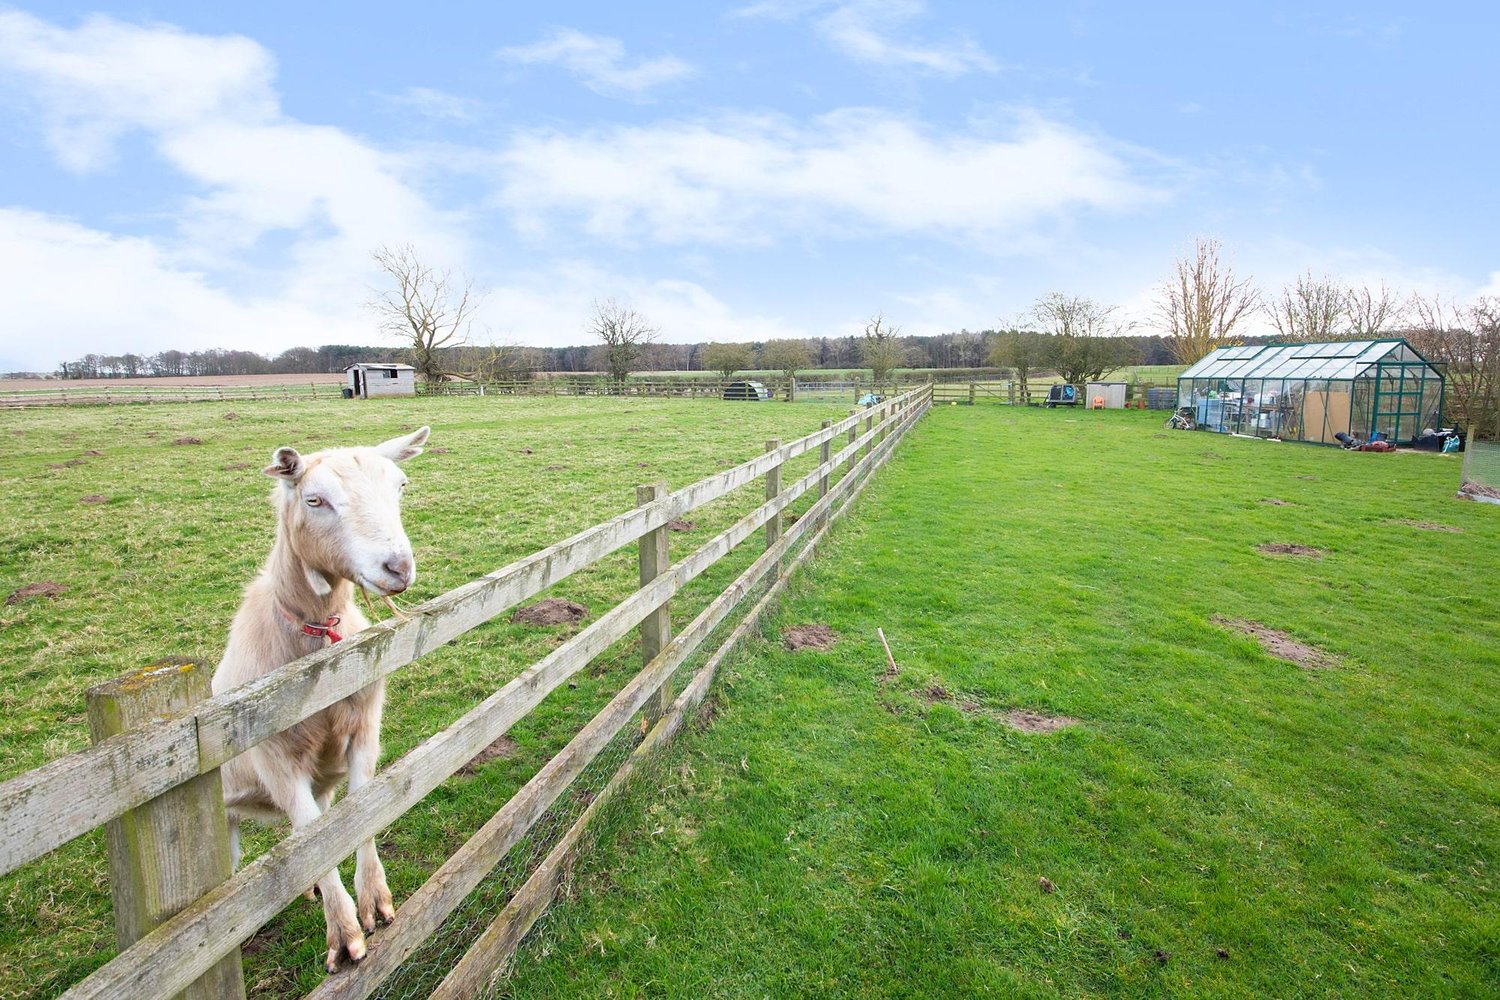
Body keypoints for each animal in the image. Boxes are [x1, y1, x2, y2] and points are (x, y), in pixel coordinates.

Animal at [210, 425, 429, 971]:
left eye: (400, 486)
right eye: (315, 499)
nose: (397, 567)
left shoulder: (364, 730)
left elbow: (357, 814)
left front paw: (375, 904)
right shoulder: (275, 761)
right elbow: (314, 837)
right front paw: (346, 937)